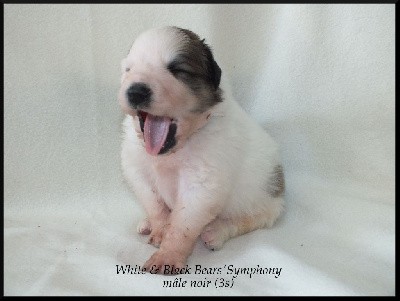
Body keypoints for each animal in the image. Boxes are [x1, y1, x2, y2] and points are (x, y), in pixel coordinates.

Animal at [119, 27, 284, 274]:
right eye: (129, 70)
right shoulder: (137, 170)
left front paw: (167, 256)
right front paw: (159, 229)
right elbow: (155, 205)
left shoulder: (201, 185)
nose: (136, 92)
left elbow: (182, 226)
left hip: (264, 200)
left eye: (177, 70)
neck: (172, 153)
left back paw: (216, 231)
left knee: (251, 219)